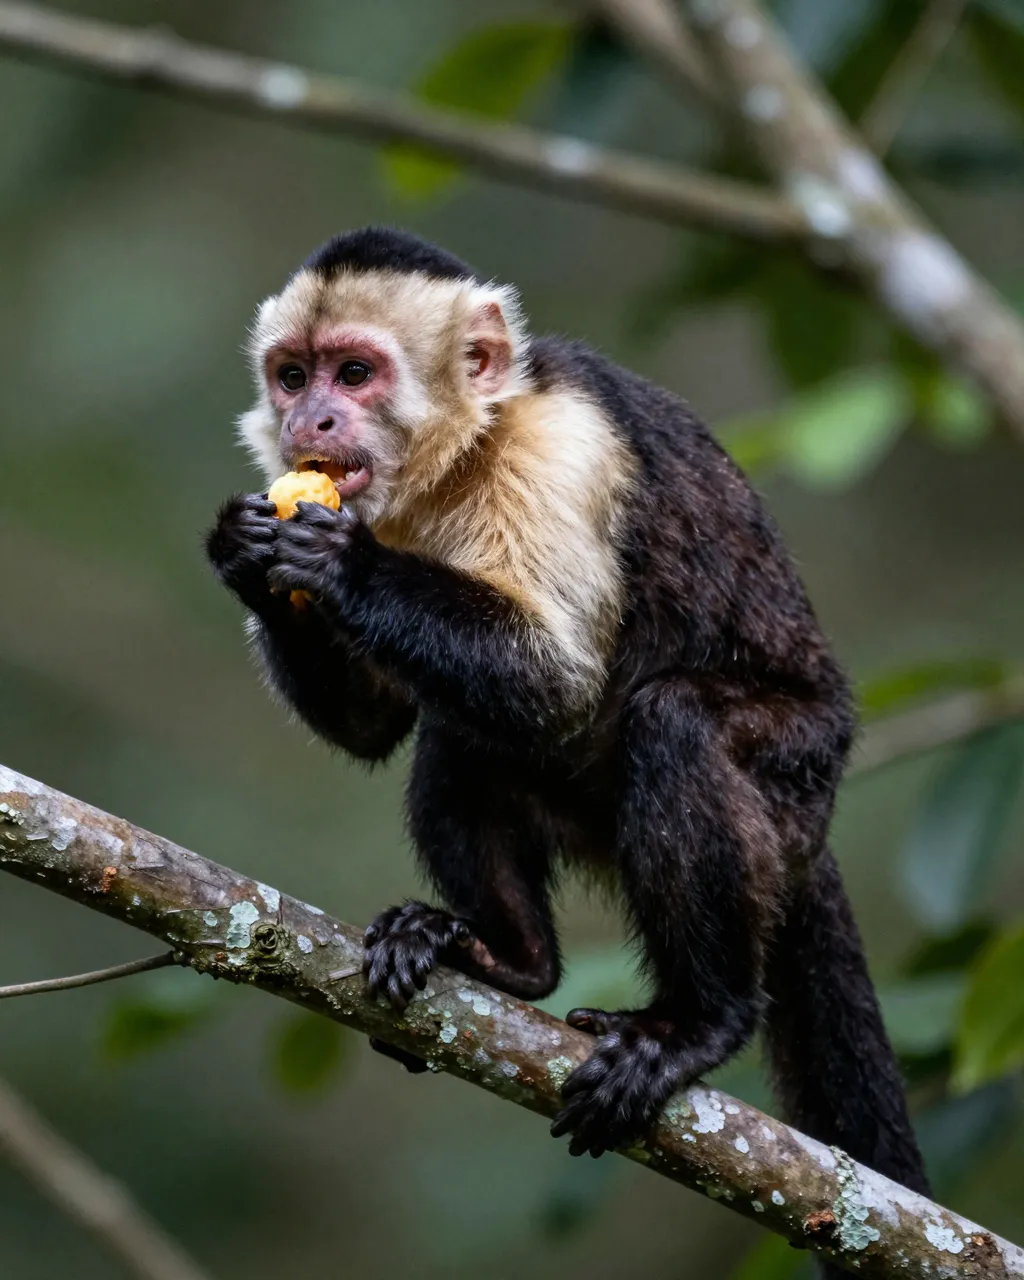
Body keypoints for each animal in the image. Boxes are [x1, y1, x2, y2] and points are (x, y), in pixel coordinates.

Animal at [206, 228, 928, 1247]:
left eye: (354, 374)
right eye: (291, 375)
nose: (309, 420)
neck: (468, 450)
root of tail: (811, 833)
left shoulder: (563, 448)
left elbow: (555, 682)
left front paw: (342, 564)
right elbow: (379, 727)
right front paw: (245, 551)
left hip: (795, 777)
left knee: (675, 722)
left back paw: (700, 1023)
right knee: (457, 733)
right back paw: (511, 960)